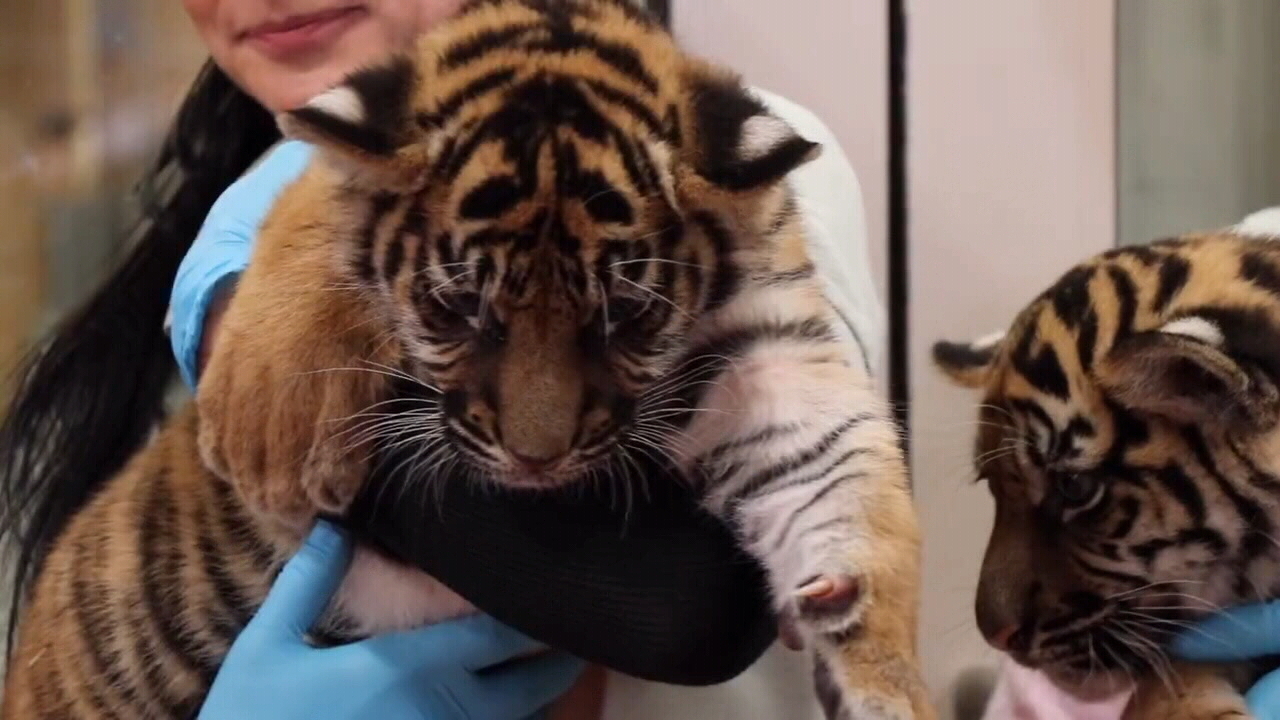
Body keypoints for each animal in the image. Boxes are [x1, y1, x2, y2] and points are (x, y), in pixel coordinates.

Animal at [0, 1, 930, 719]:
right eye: (457, 308)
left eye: (626, 316)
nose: (535, 460)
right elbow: (312, 200)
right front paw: (272, 437)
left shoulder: (766, 347)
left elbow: (835, 475)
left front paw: (879, 673)